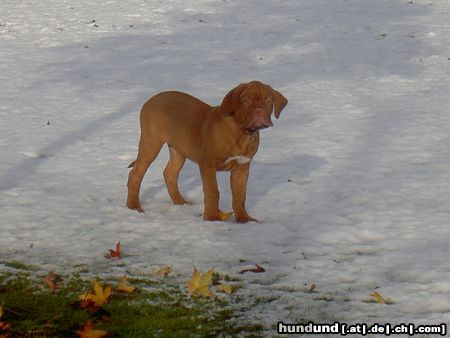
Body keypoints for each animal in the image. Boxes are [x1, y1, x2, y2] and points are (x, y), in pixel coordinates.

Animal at [127, 80, 288, 223]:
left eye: (268, 101)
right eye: (246, 100)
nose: (259, 111)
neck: (242, 132)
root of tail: (151, 99)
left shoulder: (242, 167)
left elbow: (240, 196)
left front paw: (244, 219)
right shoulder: (208, 164)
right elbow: (212, 191)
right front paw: (212, 218)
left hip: (179, 148)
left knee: (170, 173)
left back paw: (180, 202)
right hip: (151, 143)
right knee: (136, 173)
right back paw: (133, 207)